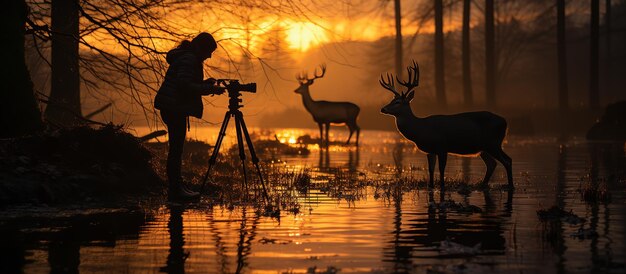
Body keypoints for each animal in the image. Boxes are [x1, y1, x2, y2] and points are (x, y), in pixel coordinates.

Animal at [378, 61, 510, 192]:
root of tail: (505, 122)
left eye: (398, 102)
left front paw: (442, 186)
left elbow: (441, 170)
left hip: (493, 143)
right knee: (492, 164)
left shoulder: (442, 147)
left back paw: (510, 185)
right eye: (392, 100)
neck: (421, 128)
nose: (383, 109)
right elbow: (431, 170)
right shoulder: (430, 151)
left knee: (507, 160)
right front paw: (431, 186)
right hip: (484, 148)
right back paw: (483, 185)